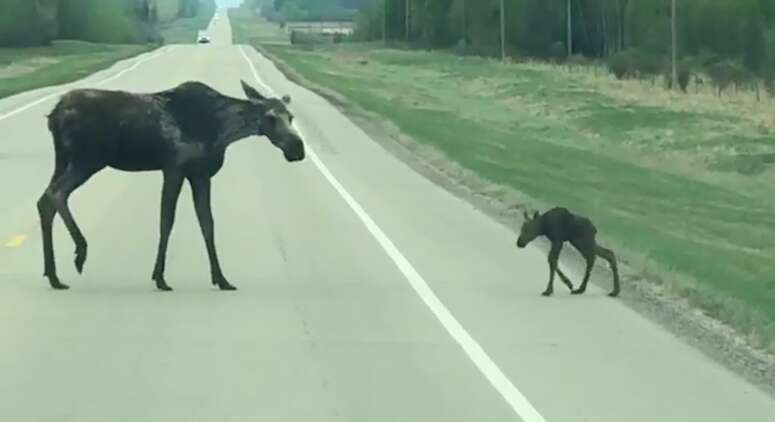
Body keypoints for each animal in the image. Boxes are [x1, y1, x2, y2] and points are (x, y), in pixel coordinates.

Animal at [39, 80, 304, 290]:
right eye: (270, 117)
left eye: (291, 117)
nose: (297, 149)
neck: (222, 131)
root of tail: (54, 115)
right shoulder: (174, 168)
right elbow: (166, 221)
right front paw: (160, 277)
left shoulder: (200, 175)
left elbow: (207, 223)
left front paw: (221, 279)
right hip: (87, 160)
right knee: (56, 193)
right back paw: (80, 252)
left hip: (63, 159)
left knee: (44, 201)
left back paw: (53, 275)